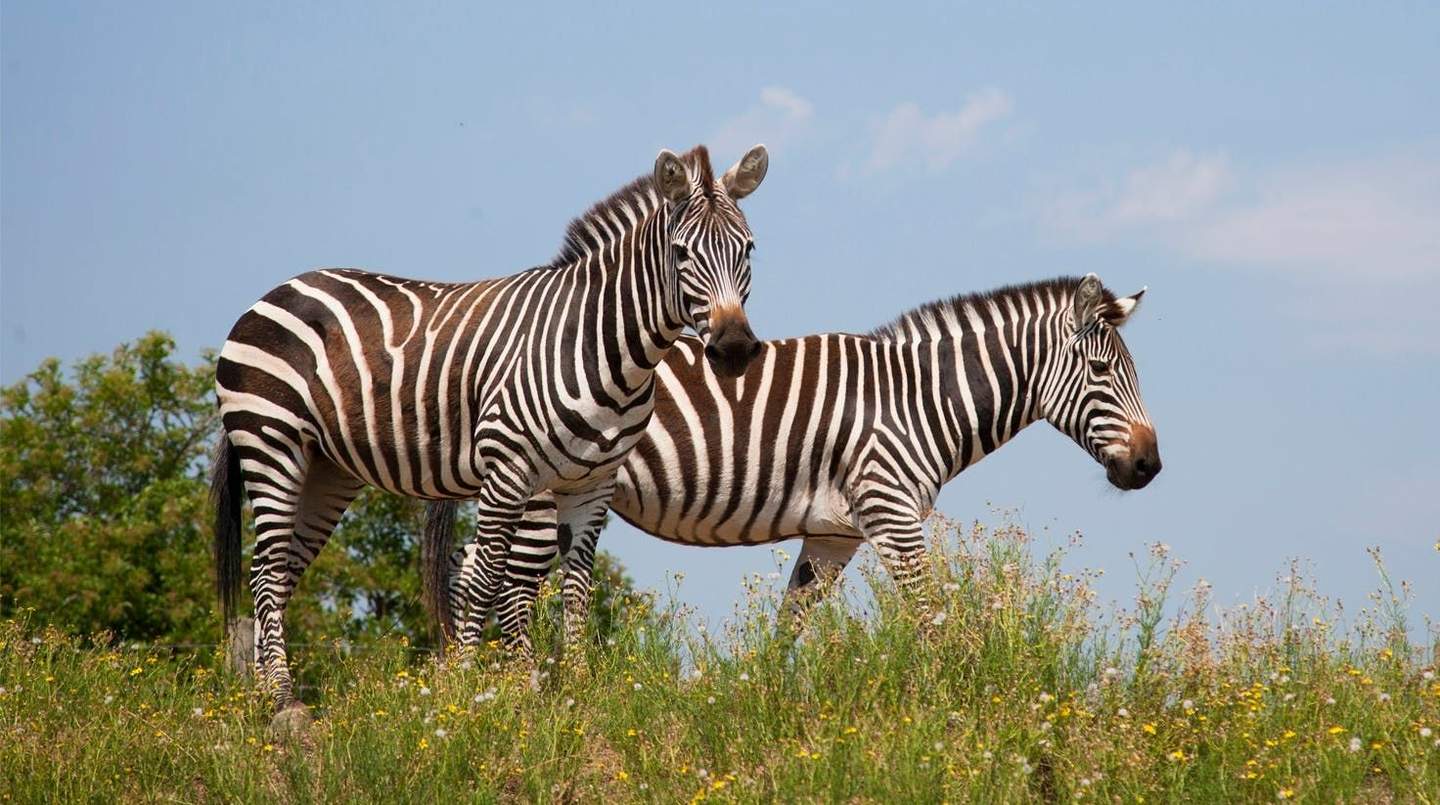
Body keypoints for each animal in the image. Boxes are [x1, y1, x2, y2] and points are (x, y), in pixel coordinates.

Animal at [211, 143, 770, 711]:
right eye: (682, 254)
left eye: (748, 250)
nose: (734, 349)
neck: (600, 346)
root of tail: (278, 290)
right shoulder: (507, 471)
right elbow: (485, 578)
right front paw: (464, 688)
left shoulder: (592, 483)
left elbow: (577, 588)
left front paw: (580, 689)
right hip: (272, 443)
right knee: (264, 572)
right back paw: (280, 695)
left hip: (326, 469)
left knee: (282, 574)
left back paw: (264, 700)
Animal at [440, 274, 1160, 654]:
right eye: (1101, 371)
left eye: (1134, 371)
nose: (1149, 466)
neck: (917, 399)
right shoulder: (891, 513)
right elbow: (933, 617)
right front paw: (955, 710)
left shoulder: (833, 535)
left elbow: (789, 628)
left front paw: (773, 714)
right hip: (539, 487)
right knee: (502, 584)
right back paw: (514, 700)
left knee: (474, 571)